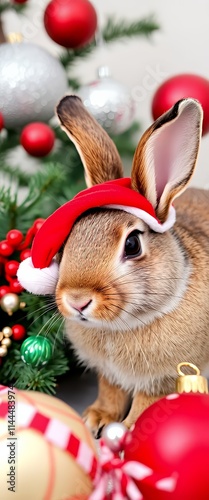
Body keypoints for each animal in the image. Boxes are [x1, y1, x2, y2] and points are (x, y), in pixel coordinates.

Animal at [18, 95, 209, 436]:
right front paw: (97, 418)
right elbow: (111, 390)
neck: (121, 325)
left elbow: (147, 402)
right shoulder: (108, 373)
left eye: (132, 245)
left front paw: (129, 430)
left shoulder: (163, 377)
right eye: (66, 243)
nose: (77, 300)